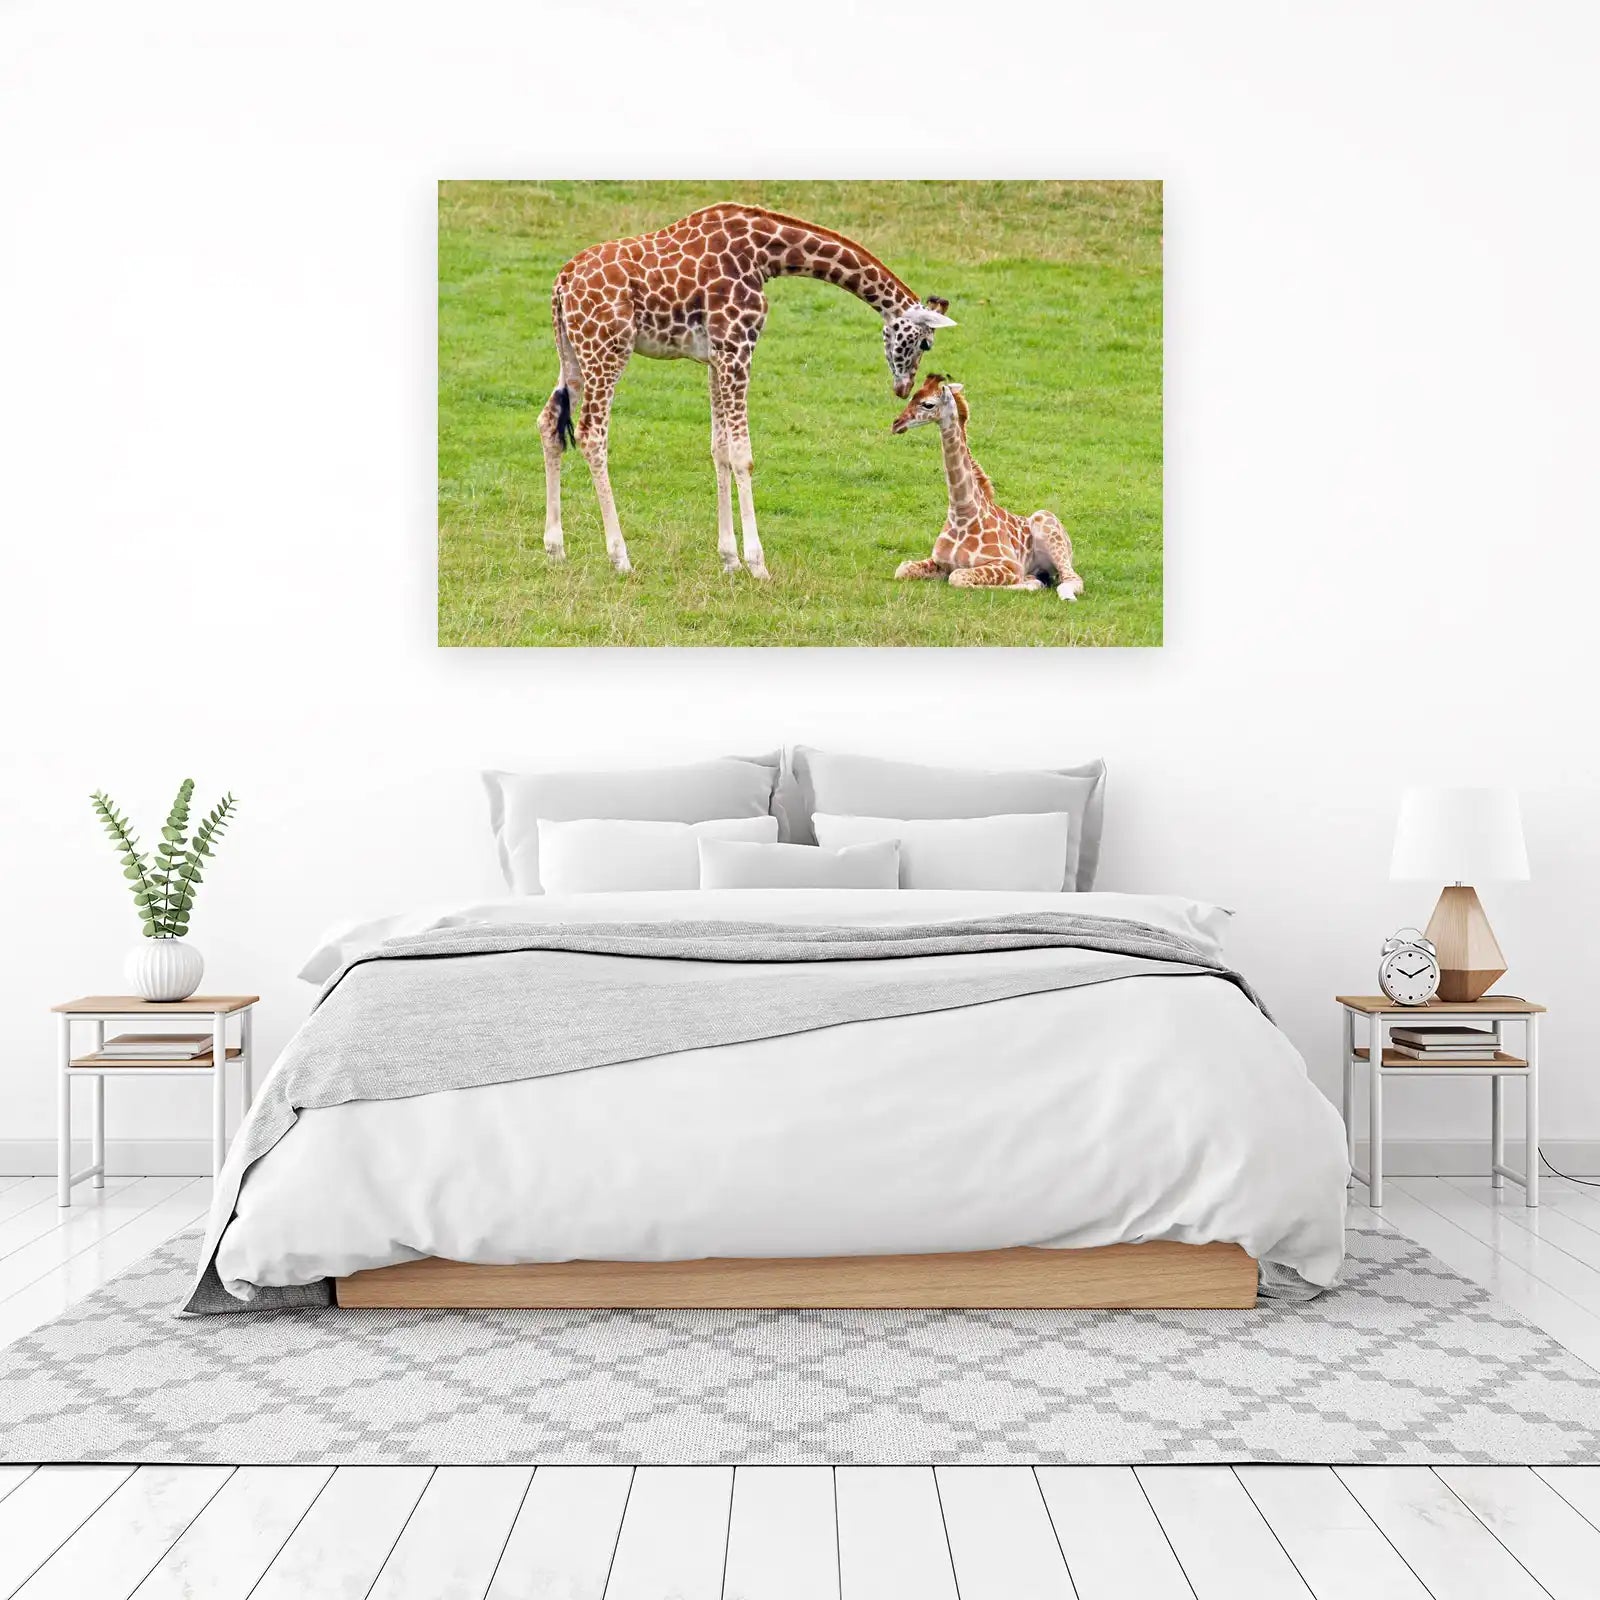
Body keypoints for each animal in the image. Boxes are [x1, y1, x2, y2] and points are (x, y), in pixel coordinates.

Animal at [537, 203, 956, 580]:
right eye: (925, 343)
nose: (903, 387)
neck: (765, 254)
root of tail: (561, 282)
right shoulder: (738, 349)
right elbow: (742, 455)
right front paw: (757, 564)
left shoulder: (716, 357)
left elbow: (719, 448)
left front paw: (729, 560)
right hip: (607, 350)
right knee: (592, 434)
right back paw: (620, 558)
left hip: (571, 352)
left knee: (548, 422)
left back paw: (556, 549)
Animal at [890, 374, 1085, 602]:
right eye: (912, 397)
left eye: (928, 404)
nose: (896, 423)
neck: (962, 512)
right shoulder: (938, 561)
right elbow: (902, 569)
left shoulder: (1009, 566)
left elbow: (958, 577)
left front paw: (1029, 583)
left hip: (1049, 528)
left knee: (1072, 579)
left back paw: (1062, 592)